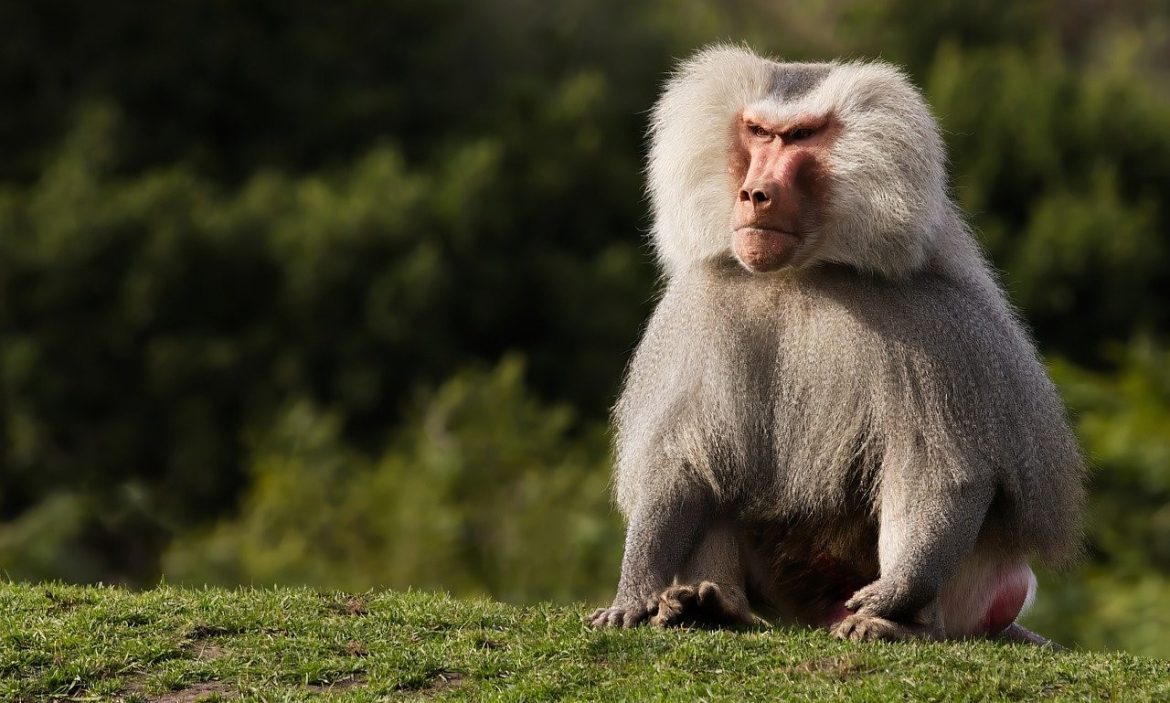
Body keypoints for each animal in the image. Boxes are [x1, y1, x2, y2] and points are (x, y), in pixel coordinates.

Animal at [587, 45, 1085, 643]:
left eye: (801, 136)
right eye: (758, 132)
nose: (754, 194)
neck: (801, 273)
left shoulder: (935, 324)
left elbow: (948, 470)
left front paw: (896, 595)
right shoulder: (704, 303)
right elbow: (682, 461)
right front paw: (634, 592)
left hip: (976, 587)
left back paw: (898, 623)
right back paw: (712, 605)